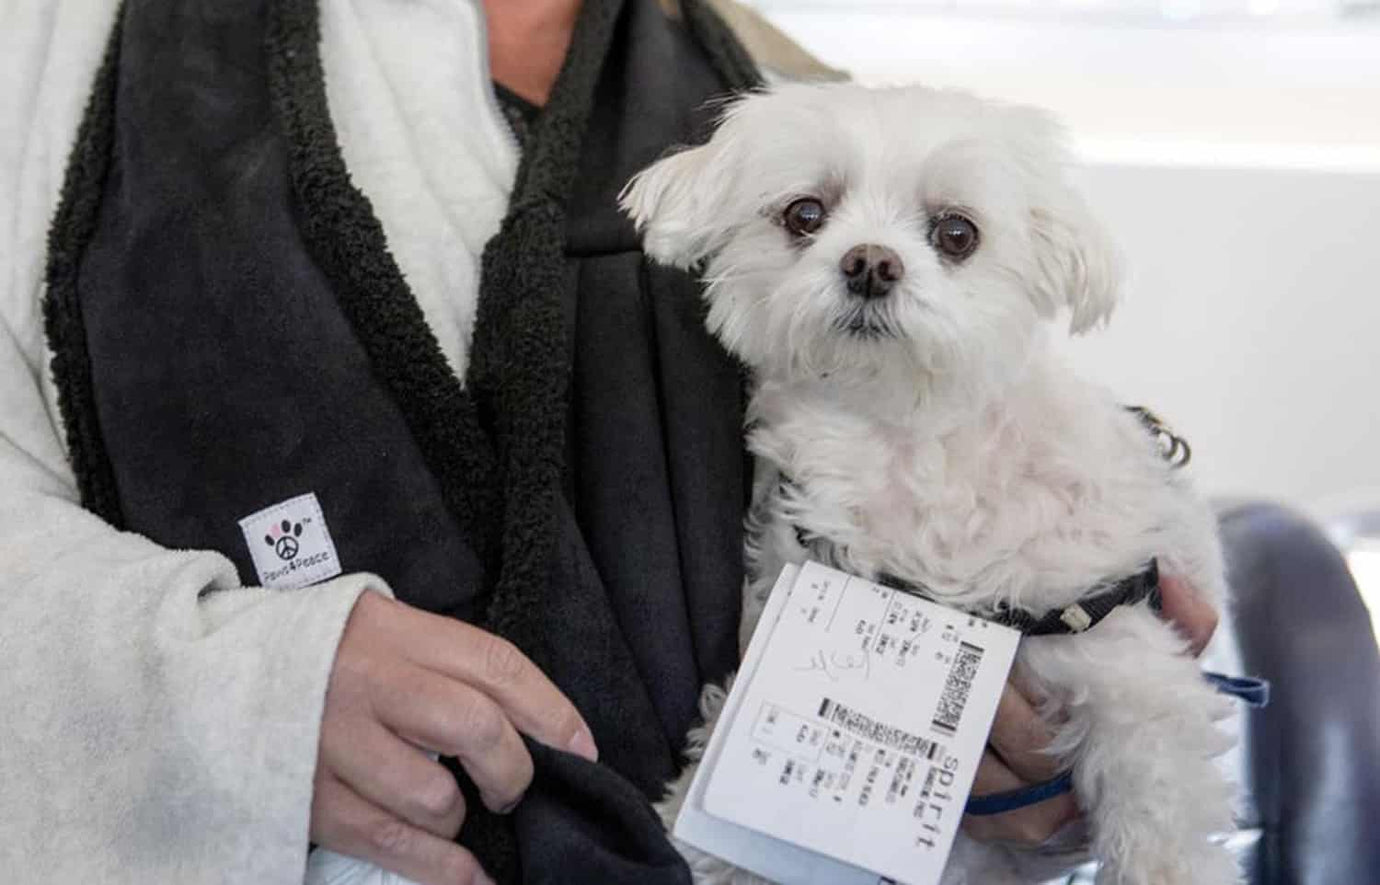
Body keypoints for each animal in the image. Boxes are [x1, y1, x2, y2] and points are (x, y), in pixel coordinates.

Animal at [621, 84, 1236, 883]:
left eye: (956, 232)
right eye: (805, 214)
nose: (871, 263)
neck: (904, 447)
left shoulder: (1126, 661)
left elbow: (1161, 812)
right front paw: (700, 839)